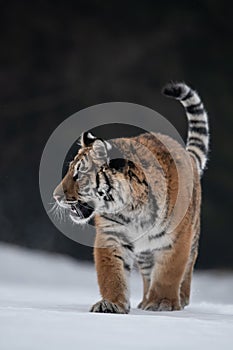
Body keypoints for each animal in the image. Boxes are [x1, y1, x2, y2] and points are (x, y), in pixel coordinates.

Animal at [53, 82, 209, 314]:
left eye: (79, 174)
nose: (55, 196)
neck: (132, 210)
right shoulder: (111, 236)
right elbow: (112, 274)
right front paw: (112, 303)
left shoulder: (177, 238)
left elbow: (169, 272)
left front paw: (162, 303)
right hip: (145, 252)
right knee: (148, 274)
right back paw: (144, 301)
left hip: (191, 236)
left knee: (186, 268)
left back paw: (179, 299)